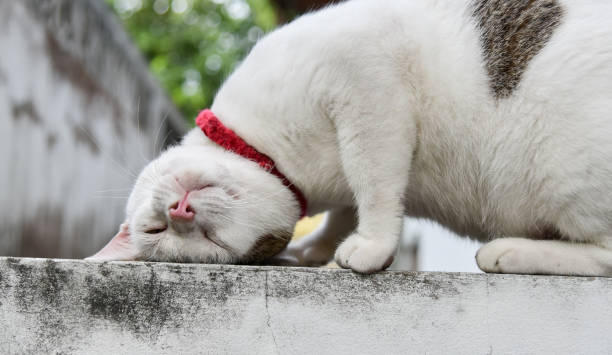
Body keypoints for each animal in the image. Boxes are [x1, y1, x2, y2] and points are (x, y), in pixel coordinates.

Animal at [87, 0, 612, 276]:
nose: (179, 212)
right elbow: (350, 206)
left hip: (563, 168)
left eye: (155, 227)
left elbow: (373, 178)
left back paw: (508, 251)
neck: (303, 171)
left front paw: (372, 245)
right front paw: (319, 247)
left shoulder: (367, 84)